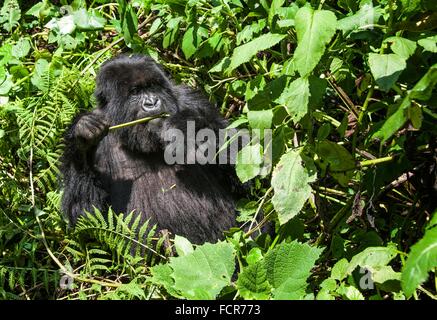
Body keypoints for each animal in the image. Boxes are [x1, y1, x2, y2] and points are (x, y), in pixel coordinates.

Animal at [60, 53, 238, 244]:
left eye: (152, 86)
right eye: (135, 92)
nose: (152, 102)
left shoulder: (192, 99)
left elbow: (241, 167)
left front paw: (187, 124)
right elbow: (86, 218)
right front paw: (83, 137)